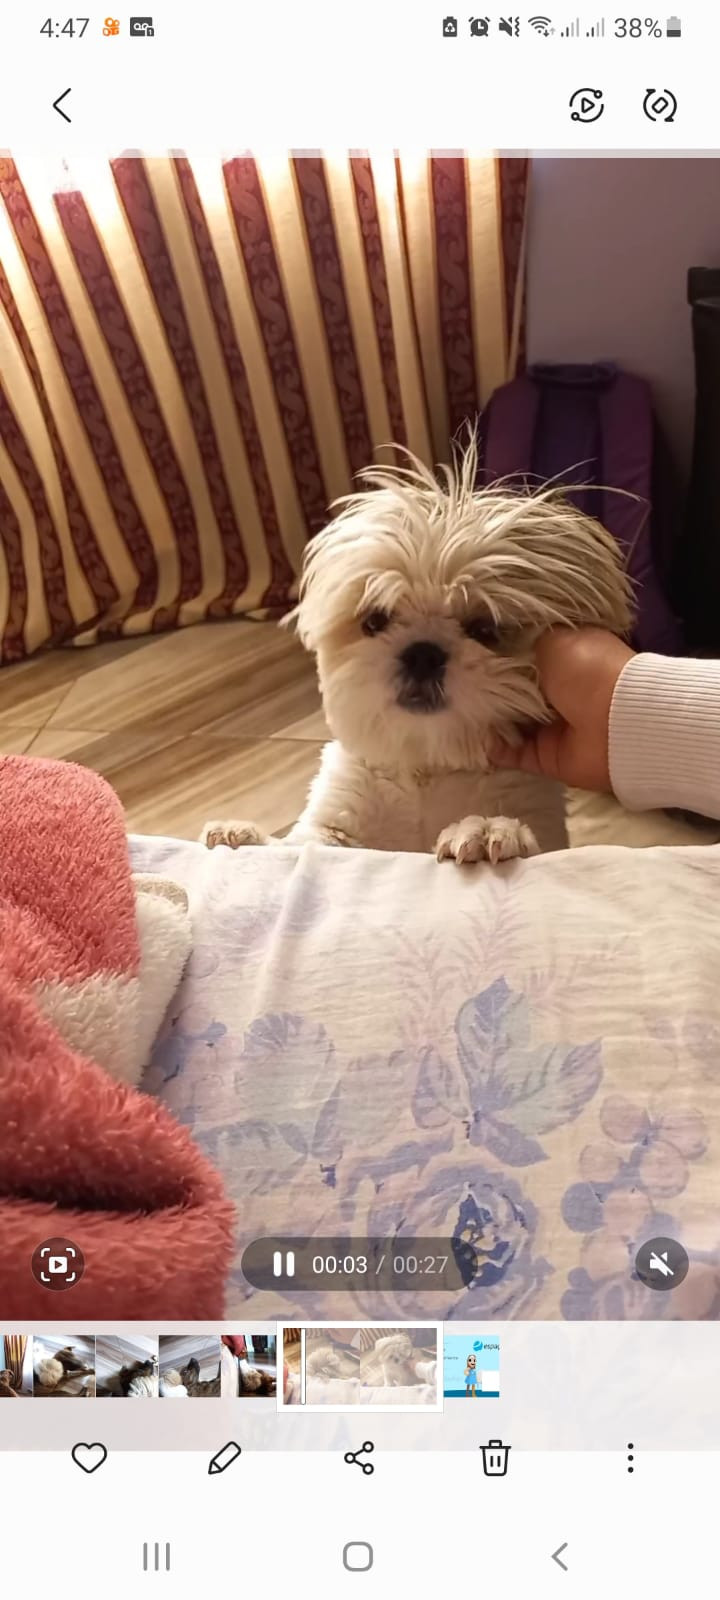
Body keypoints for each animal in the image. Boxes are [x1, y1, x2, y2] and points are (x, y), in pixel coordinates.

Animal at [202, 439, 632, 862]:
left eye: (484, 629)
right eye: (374, 620)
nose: (423, 652)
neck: (427, 767)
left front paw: (485, 830)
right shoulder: (339, 824)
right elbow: (308, 842)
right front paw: (244, 836)